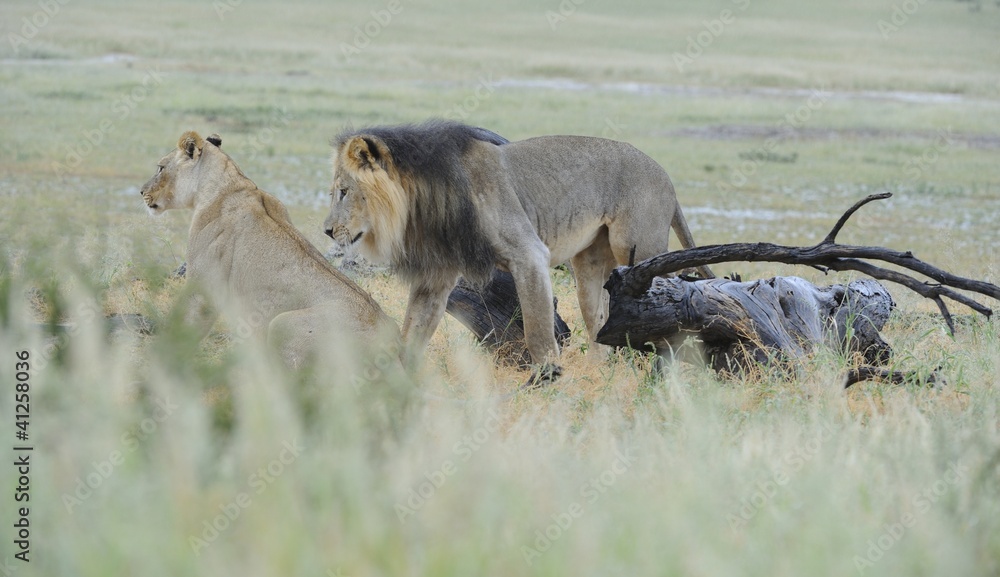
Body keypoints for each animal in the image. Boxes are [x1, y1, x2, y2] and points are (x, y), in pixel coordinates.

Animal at [140, 131, 402, 371]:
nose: (141, 192)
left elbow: (185, 325)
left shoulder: (202, 287)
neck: (225, 185)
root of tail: (391, 346)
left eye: (160, 168)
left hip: (282, 324)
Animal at [323, 120, 713, 368]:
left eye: (344, 191)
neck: (422, 201)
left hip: (638, 246)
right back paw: (598, 375)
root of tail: (666, 176)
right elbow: (414, 329)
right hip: (589, 264)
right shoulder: (435, 277)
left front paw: (547, 384)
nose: (326, 231)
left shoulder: (529, 254)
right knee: (600, 320)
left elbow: (538, 332)